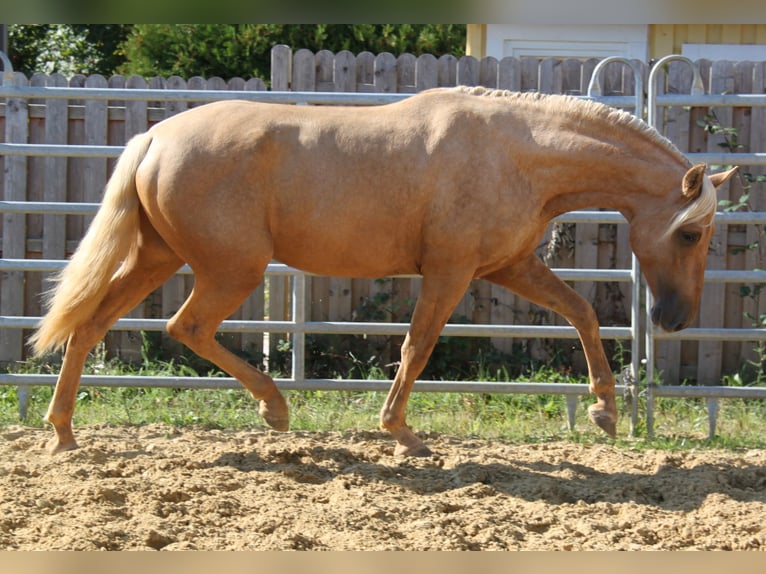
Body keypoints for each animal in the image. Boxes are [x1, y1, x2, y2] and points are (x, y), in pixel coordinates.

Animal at [30, 86, 738, 456]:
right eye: (691, 231)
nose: (674, 320)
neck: (515, 152)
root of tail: (154, 137)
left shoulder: (508, 266)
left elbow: (582, 312)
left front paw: (605, 413)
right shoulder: (450, 270)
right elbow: (417, 345)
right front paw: (401, 433)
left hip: (157, 258)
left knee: (89, 326)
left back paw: (63, 435)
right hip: (229, 271)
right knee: (186, 328)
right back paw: (275, 409)